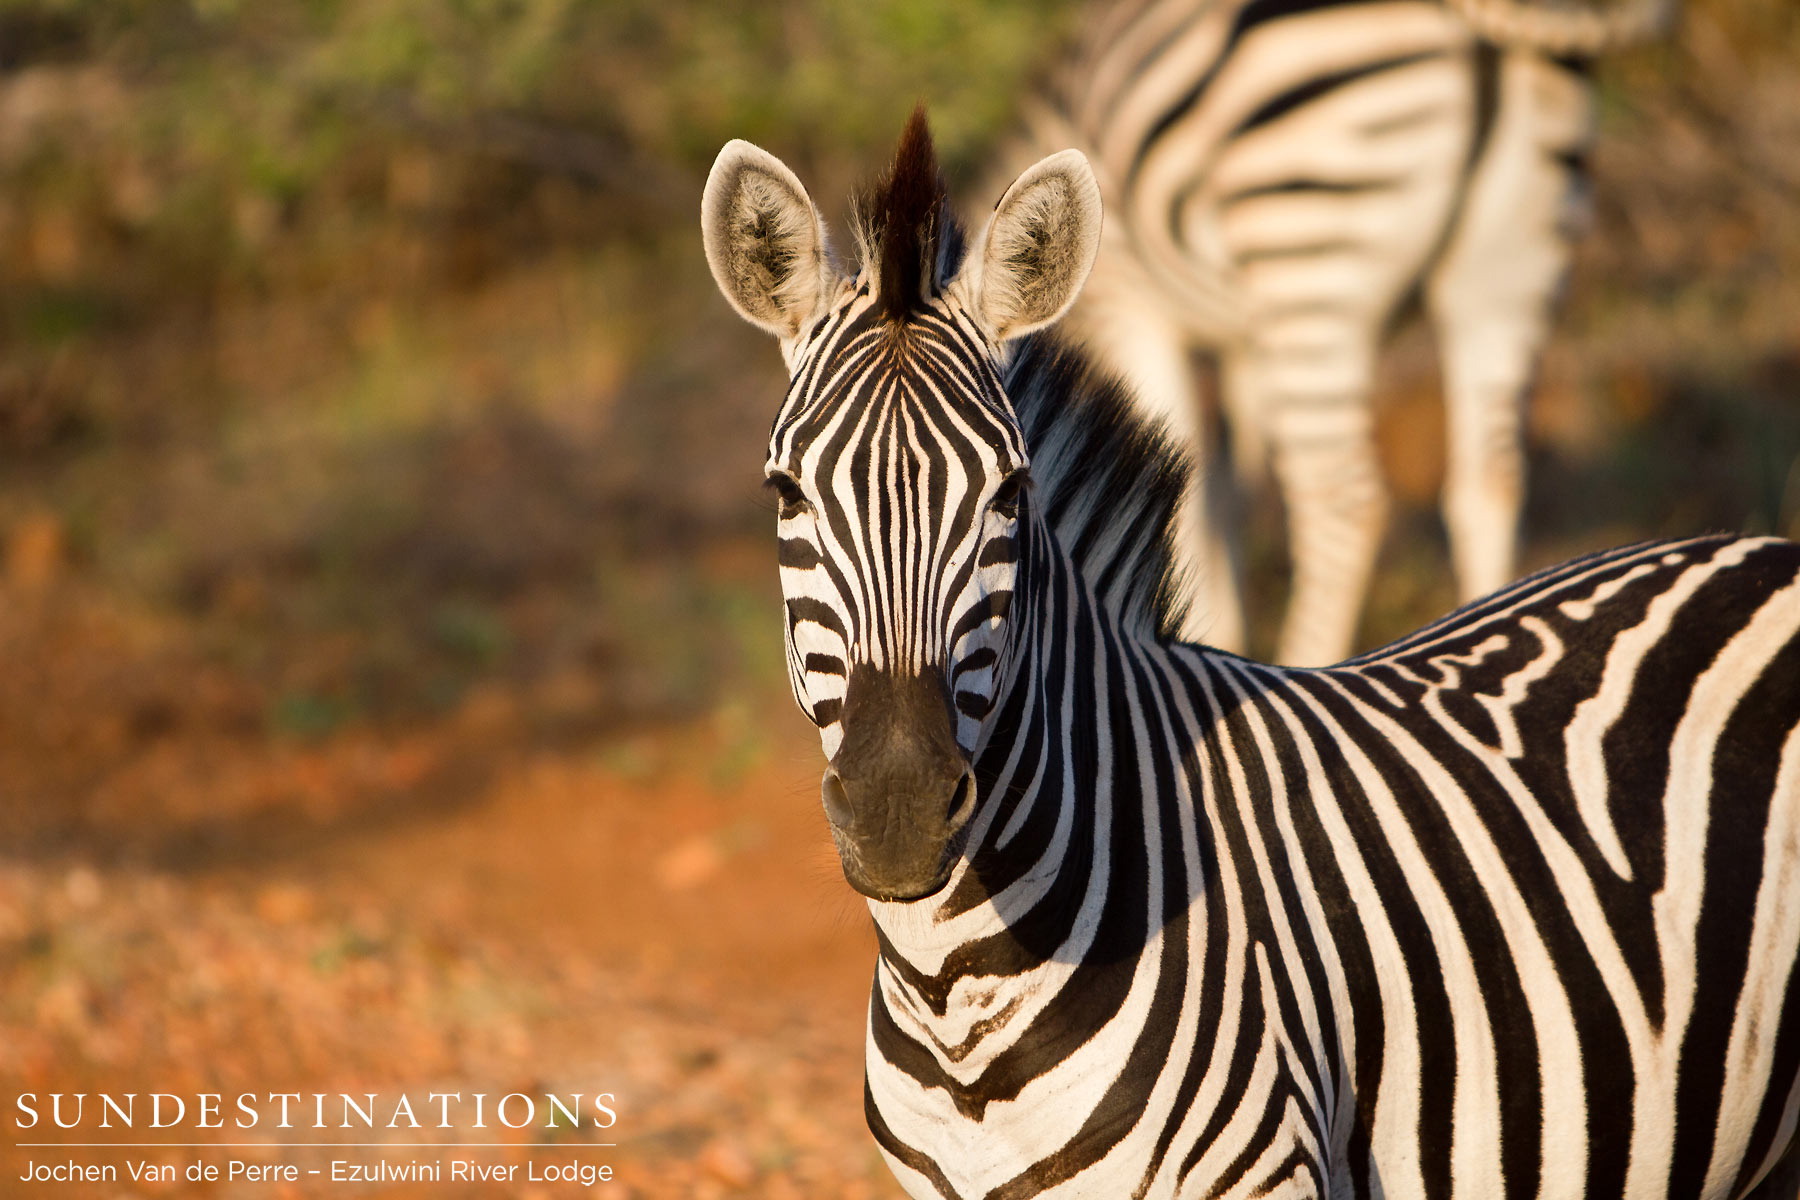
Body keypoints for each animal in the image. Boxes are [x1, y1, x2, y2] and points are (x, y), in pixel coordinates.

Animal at [1000, 0, 1675, 665]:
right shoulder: (1245, 343)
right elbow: (1224, 488)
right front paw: (1220, 630)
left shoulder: (1133, 306)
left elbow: (1186, 483)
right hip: (1507, 273)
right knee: (1493, 482)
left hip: (1312, 249)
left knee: (1345, 503)